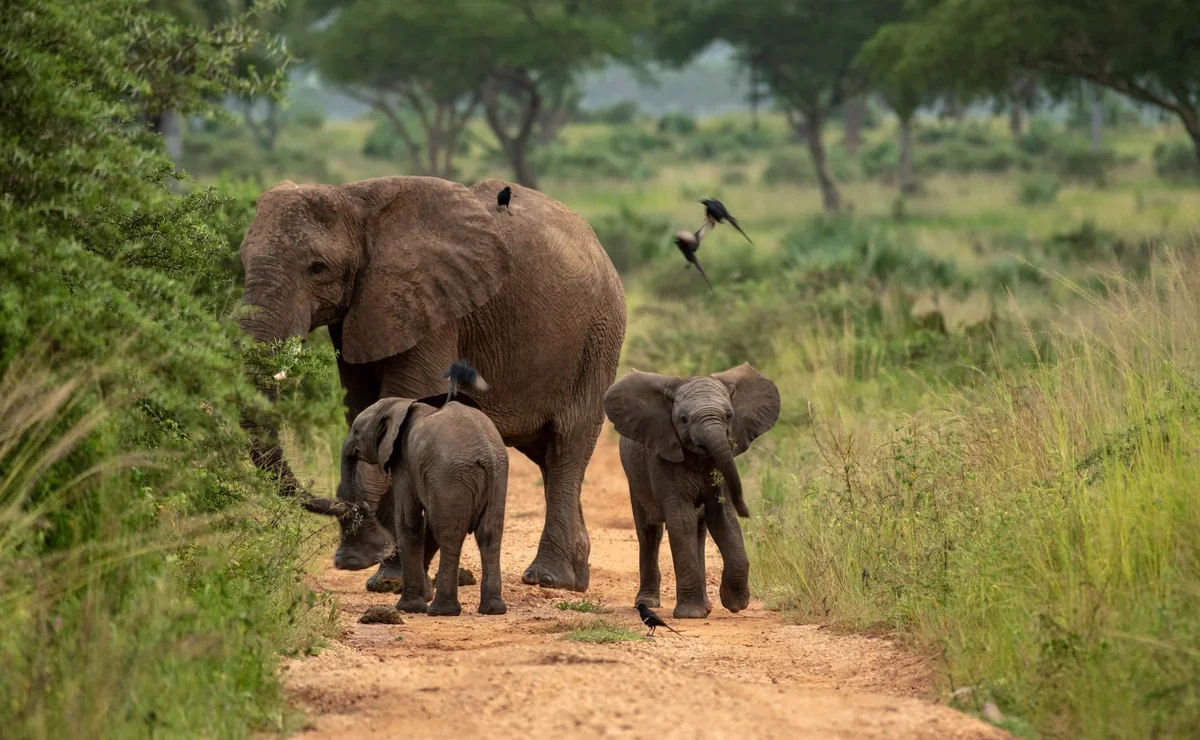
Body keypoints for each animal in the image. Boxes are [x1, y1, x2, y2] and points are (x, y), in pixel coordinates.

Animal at [237, 176, 624, 592]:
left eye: (317, 267)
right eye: (241, 260)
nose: (339, 508)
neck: (356, 200)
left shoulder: (434, 310)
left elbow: (401, 409)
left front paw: (380, 569)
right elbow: (364, 414)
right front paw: (386, 574)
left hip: (596, 342)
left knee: (567, 445)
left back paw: (548, 578)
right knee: (548, 459)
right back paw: (575, 578)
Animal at [316, 395, 508, 614]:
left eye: (356, 430)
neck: (402, 405)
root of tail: (486, 455)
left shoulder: (403, 461)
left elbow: (408, 521)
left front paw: (408, 607)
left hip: (451, 476)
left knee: (449, 535)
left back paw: (442, 611)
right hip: (497, 476)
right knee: (489, 533)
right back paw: (493, 609)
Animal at [604, 364, 782, 618]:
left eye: (729, 416)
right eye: (683, 419)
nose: (747, 511)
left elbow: (724, 518)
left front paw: (735, 604)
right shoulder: (663, 460)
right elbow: (681, 520)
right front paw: (691, 615)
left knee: (699, 531)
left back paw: (707, 606)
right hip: (635, 478)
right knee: (649, 532)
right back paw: (648, 602)